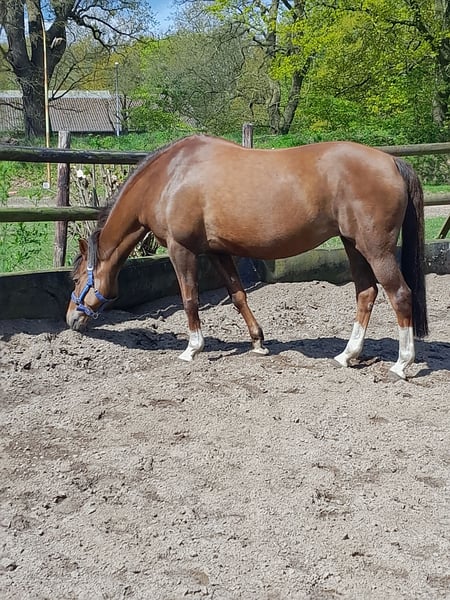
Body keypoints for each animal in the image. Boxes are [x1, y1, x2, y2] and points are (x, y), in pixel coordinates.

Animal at [66, 134, 428, 379]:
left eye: (77, 278)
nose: (71, 319)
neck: (169, 178)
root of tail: (392, 162)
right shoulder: (218, 251)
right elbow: (238, 295)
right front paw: (258, 343)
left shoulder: (181, 249)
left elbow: (189, 299)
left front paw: (192, 348)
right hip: (353, 244)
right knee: (366, 293)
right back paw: (347, 355)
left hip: (375, 248)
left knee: (400, 294)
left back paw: (402, 364)